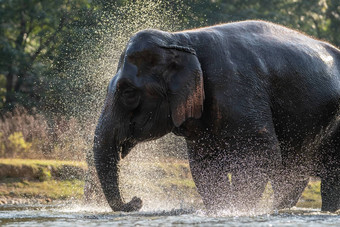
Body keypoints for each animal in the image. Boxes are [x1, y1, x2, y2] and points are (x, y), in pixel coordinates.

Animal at [92, 20, 340, 213]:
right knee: (294, 176)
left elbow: (260, 153)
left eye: (128, 93)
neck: (182, 40)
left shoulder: (236, 89)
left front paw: (239, 209)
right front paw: (221, 209)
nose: (137, 201)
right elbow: (205, 164)